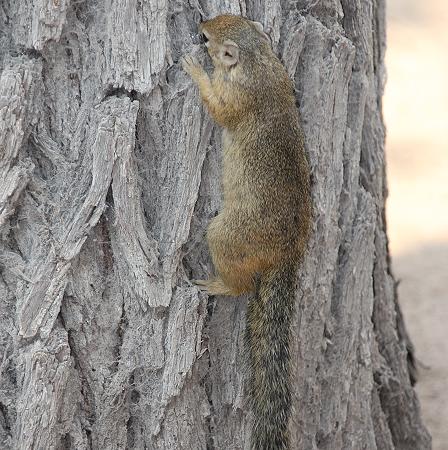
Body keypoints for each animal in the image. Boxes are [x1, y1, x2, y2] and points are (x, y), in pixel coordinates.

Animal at [182, 14, 312, 450]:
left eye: (207, 36)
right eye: (222, 18)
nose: (199, 22)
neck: (258, 64)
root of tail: (288, 251)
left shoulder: (238, 100)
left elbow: (219, 109)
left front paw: (195, 70)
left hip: (227, 234)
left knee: (241, 284)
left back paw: (219, 285)